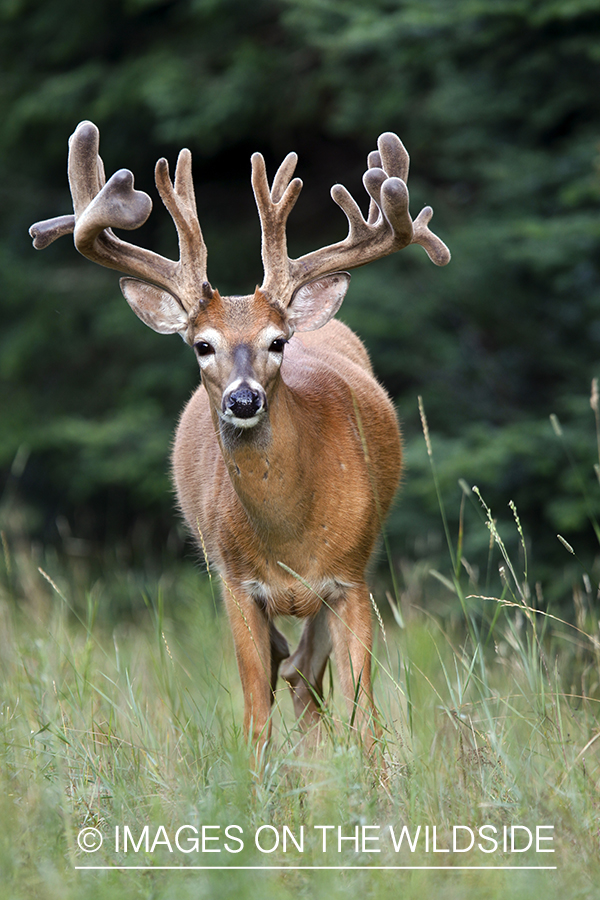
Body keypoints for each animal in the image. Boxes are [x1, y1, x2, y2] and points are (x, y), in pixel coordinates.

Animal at [29, 119, 450, 752]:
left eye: (278, 341)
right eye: (202, 344)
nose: (244, 399)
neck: (291, 534)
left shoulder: (352, 578)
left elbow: (367, 717)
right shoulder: (236, 585)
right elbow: (255, 718)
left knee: (305, 675)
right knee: (292, 672)